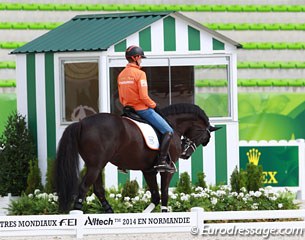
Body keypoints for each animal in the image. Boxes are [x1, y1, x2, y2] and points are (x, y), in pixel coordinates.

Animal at [54, 102, 216, 212]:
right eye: (203, 137)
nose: (185, 154)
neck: (173, 125)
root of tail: (81, 123)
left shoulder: (149, 170)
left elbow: (156, 196)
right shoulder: (166, 171)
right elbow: (164, 194)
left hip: (96, 165)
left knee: (98, 189)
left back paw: (110, 212)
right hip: (95, 165)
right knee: (83, 187)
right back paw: (77, 213)